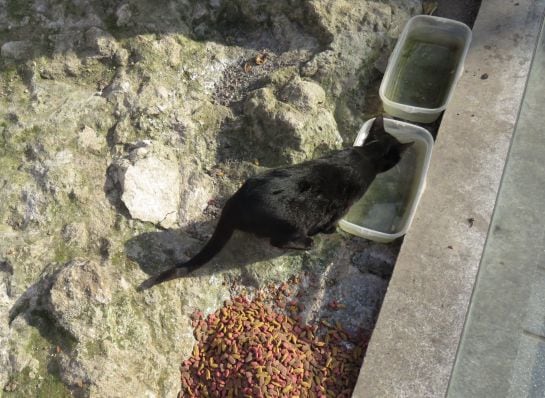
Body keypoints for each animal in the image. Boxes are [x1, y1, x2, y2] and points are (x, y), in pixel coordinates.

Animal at [138, 116, 410, 290]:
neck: (367, 154)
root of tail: (235, 203)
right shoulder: (340, 208)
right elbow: (331, 223)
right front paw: (330, 231)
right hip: (291, 224)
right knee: (279, 241)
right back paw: (307, 243)